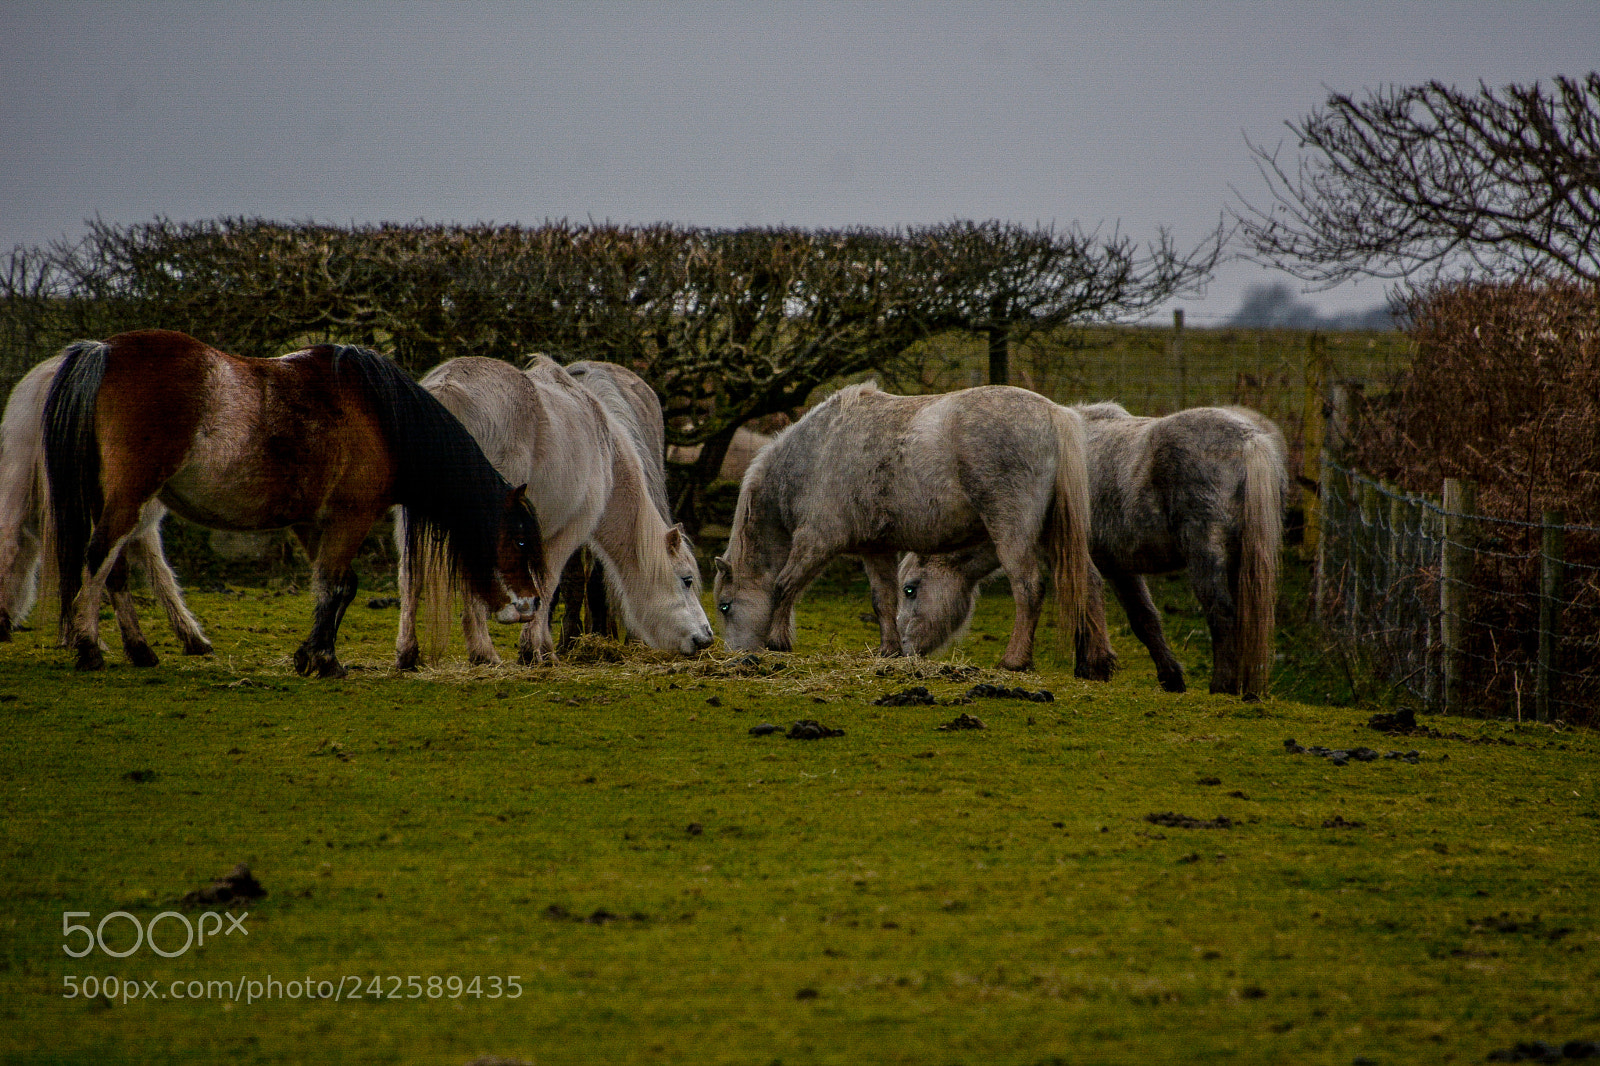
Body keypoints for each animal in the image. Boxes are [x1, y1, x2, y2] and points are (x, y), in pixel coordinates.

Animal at [43, 328, 544, 672]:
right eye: (519, 542)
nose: (533, 604)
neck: (381, 416)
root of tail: (105, 351)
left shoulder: (313, 523)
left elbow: (337, 587)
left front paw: (311, 654)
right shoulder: (351, 517)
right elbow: (337, 586)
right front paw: (324, 660)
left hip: (119, 501)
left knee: (115, 569)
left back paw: (140, 650)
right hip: (131, 497)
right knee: (98, 557)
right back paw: (89, 647)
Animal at [716, 377, 1100, 669]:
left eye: (724, 606)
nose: (737, 655)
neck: (815, 452)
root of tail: (1054, 413)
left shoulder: (816, 542)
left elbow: (784, 585)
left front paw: (777, 640)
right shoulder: (875, 550)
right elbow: (882, 600)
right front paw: (889, 650)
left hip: (1012, 533)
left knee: (1028, 587)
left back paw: (1015, 660)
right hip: (1052, 537)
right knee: (1088, 583)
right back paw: (1095, 663)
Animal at [902, 403, 1286, 694]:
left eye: (909, 589)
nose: (902, 651)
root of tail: (1249, 440)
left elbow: (1083, 601)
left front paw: (1092, 668)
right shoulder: (1119, 565)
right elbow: (1144, 619)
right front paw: (1168, 677)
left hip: (1206, 554)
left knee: (1222, 614)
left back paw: (1222, 686)